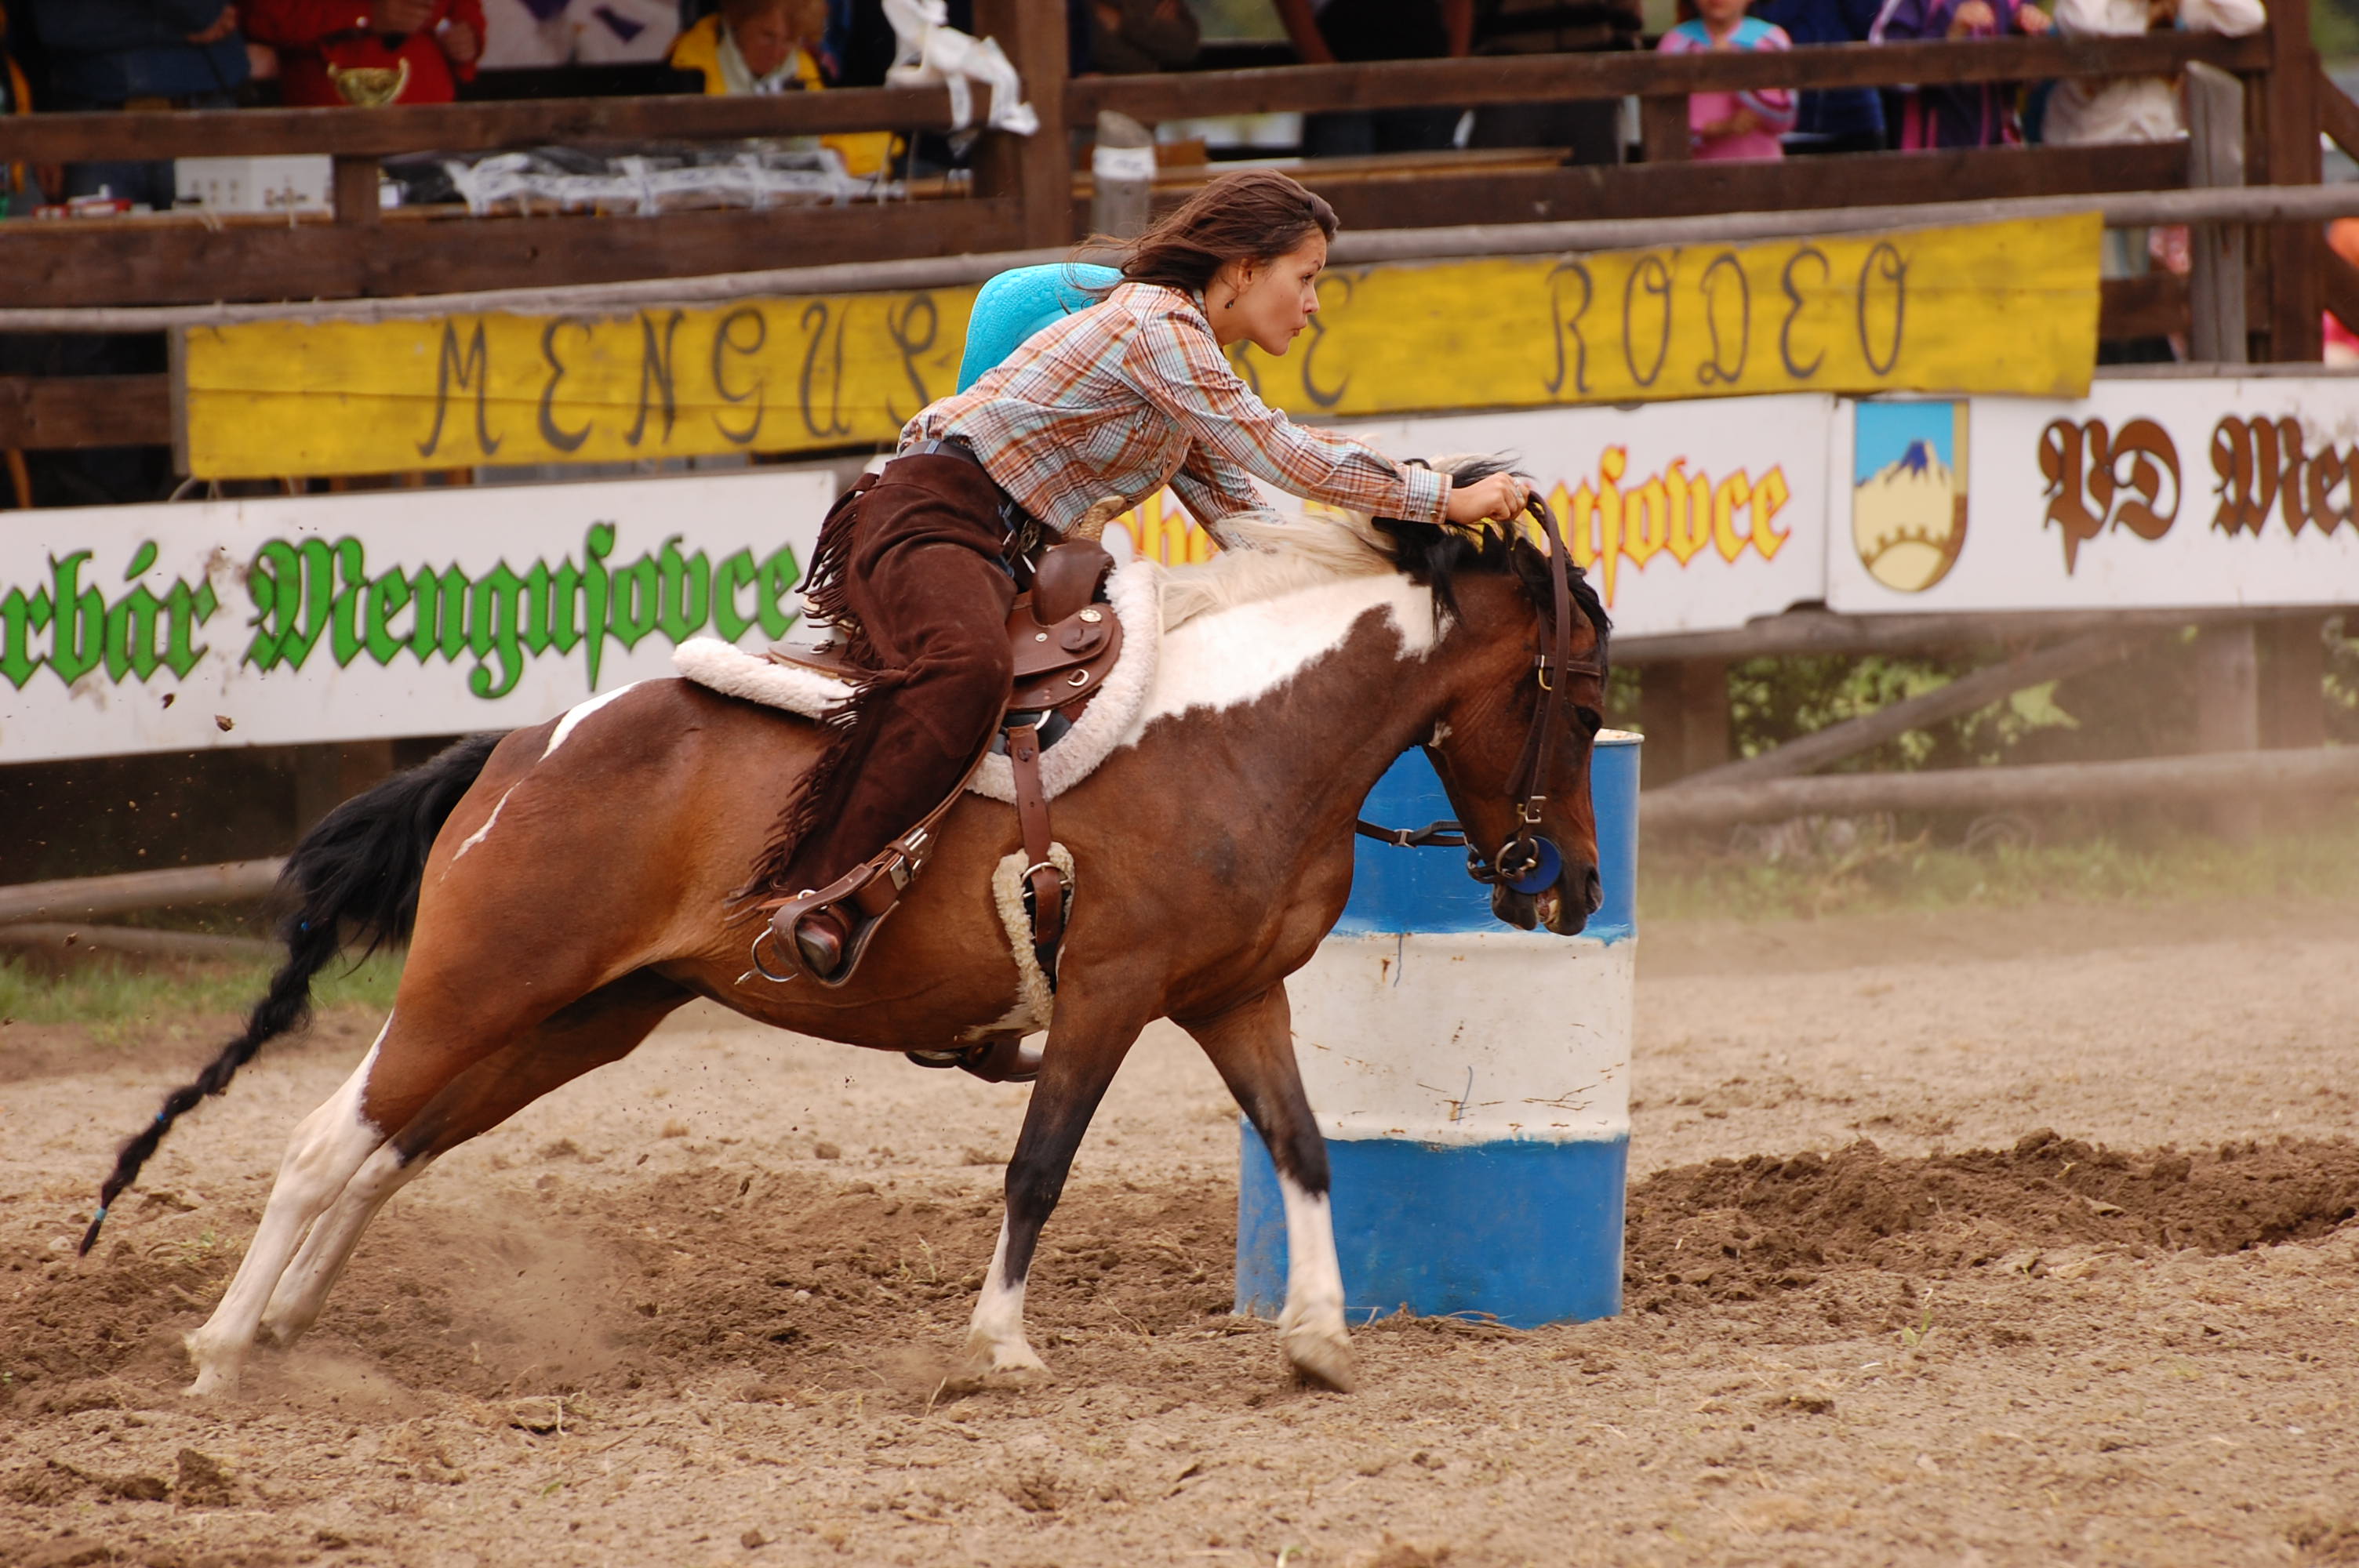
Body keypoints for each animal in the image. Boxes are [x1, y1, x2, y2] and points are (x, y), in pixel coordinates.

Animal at [83, 490, 1613, 1396]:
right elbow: (1040, 1164)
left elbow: (1304, 1148)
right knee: (323, 1140)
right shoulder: (1109, 993)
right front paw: (997, 1349)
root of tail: (519, 750)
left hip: (580, 1016)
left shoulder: (1237, 997)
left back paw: (286, 1329)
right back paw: (222, 1352)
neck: (1247, 731)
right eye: (1581, 696)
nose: (1572, 886)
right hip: (479, 983)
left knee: (394, 1145)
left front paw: (1317, 1340)